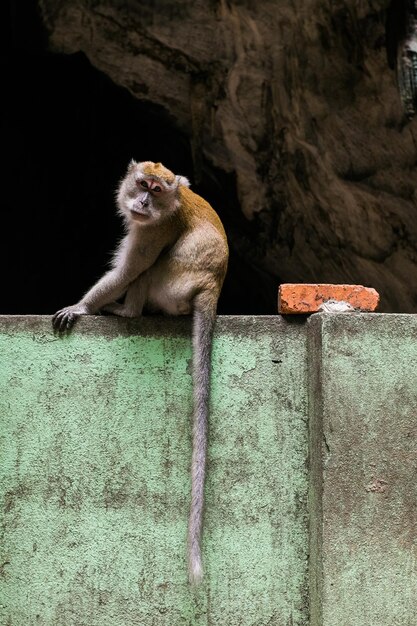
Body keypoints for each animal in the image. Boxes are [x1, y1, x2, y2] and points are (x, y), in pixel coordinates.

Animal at [52, 160, 229, 580]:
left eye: (157, 190)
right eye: (142, 185)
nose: (144, 201)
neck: (167, 208)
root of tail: (211, 288)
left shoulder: (153, 231)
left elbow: (130, 270)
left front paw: (82, 307)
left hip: (173, 284)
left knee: (147, 272)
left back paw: (126, 311)